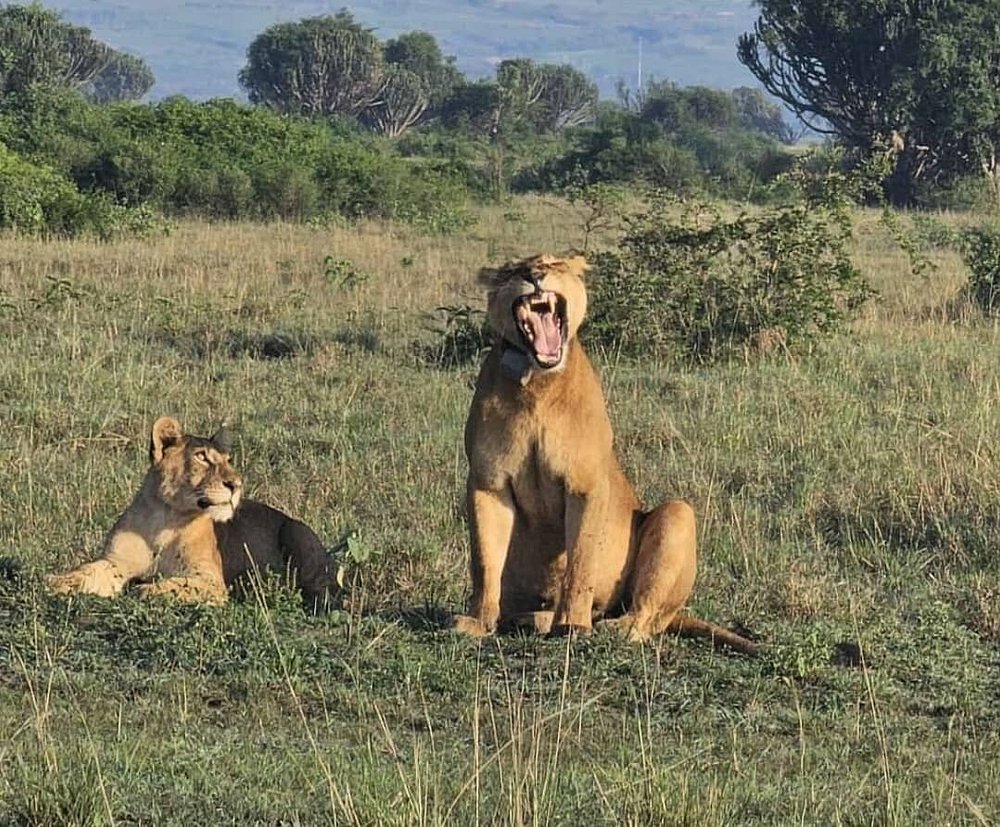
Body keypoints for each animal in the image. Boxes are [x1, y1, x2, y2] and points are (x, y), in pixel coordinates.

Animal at [46, 416, 339, 610]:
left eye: (228, 460)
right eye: (202, 457)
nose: (236, 484)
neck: (165, 518)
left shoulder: (210, 580)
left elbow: (176, 585)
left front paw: (143, 589)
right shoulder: (116, 562)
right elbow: (88, 571)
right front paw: (57, 581)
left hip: (297, 532)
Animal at [452, 254, 757, 653]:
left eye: (554, 263)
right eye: (515, 270)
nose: (535, 275)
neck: (537, 383)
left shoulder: (586, 483)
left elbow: (581, 560)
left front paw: (572, 625)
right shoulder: (488, 483)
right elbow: (484, 560)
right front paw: (477, 622)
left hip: (677, 515)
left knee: (648, 616)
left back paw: (614, 628)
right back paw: (530, 618)